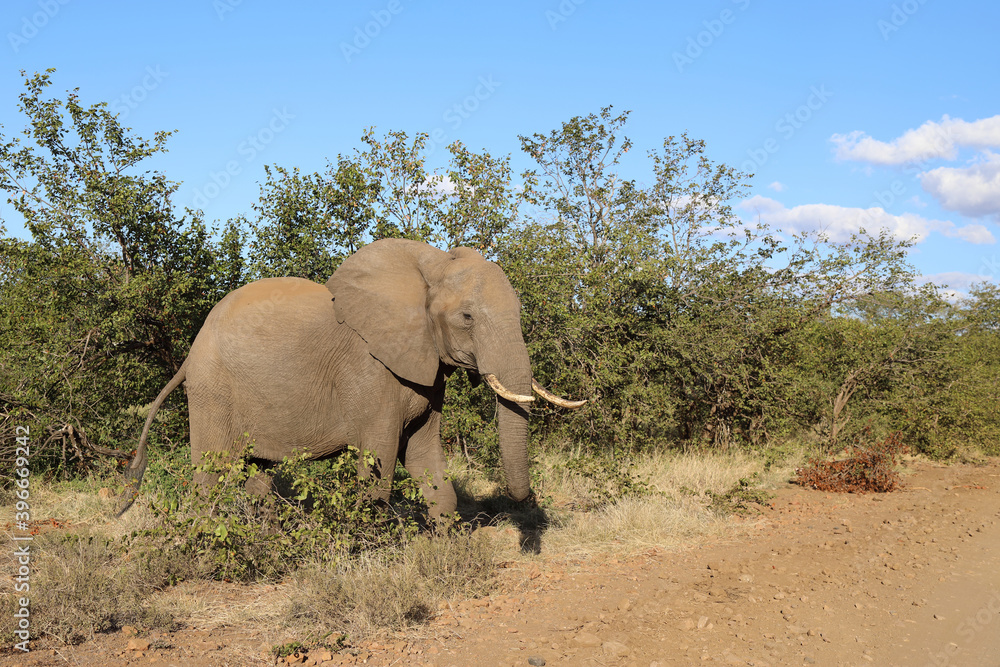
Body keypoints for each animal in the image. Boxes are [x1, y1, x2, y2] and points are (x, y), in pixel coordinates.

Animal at [120, 238, 585, 517]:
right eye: (467, 317)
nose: (525, 500)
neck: (426, 263)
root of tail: (190, 353)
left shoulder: (426, 370)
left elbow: (426, 459)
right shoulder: (369, 371)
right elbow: (378, 470)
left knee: (259, 474)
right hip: (212, 389)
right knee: (212, 476)